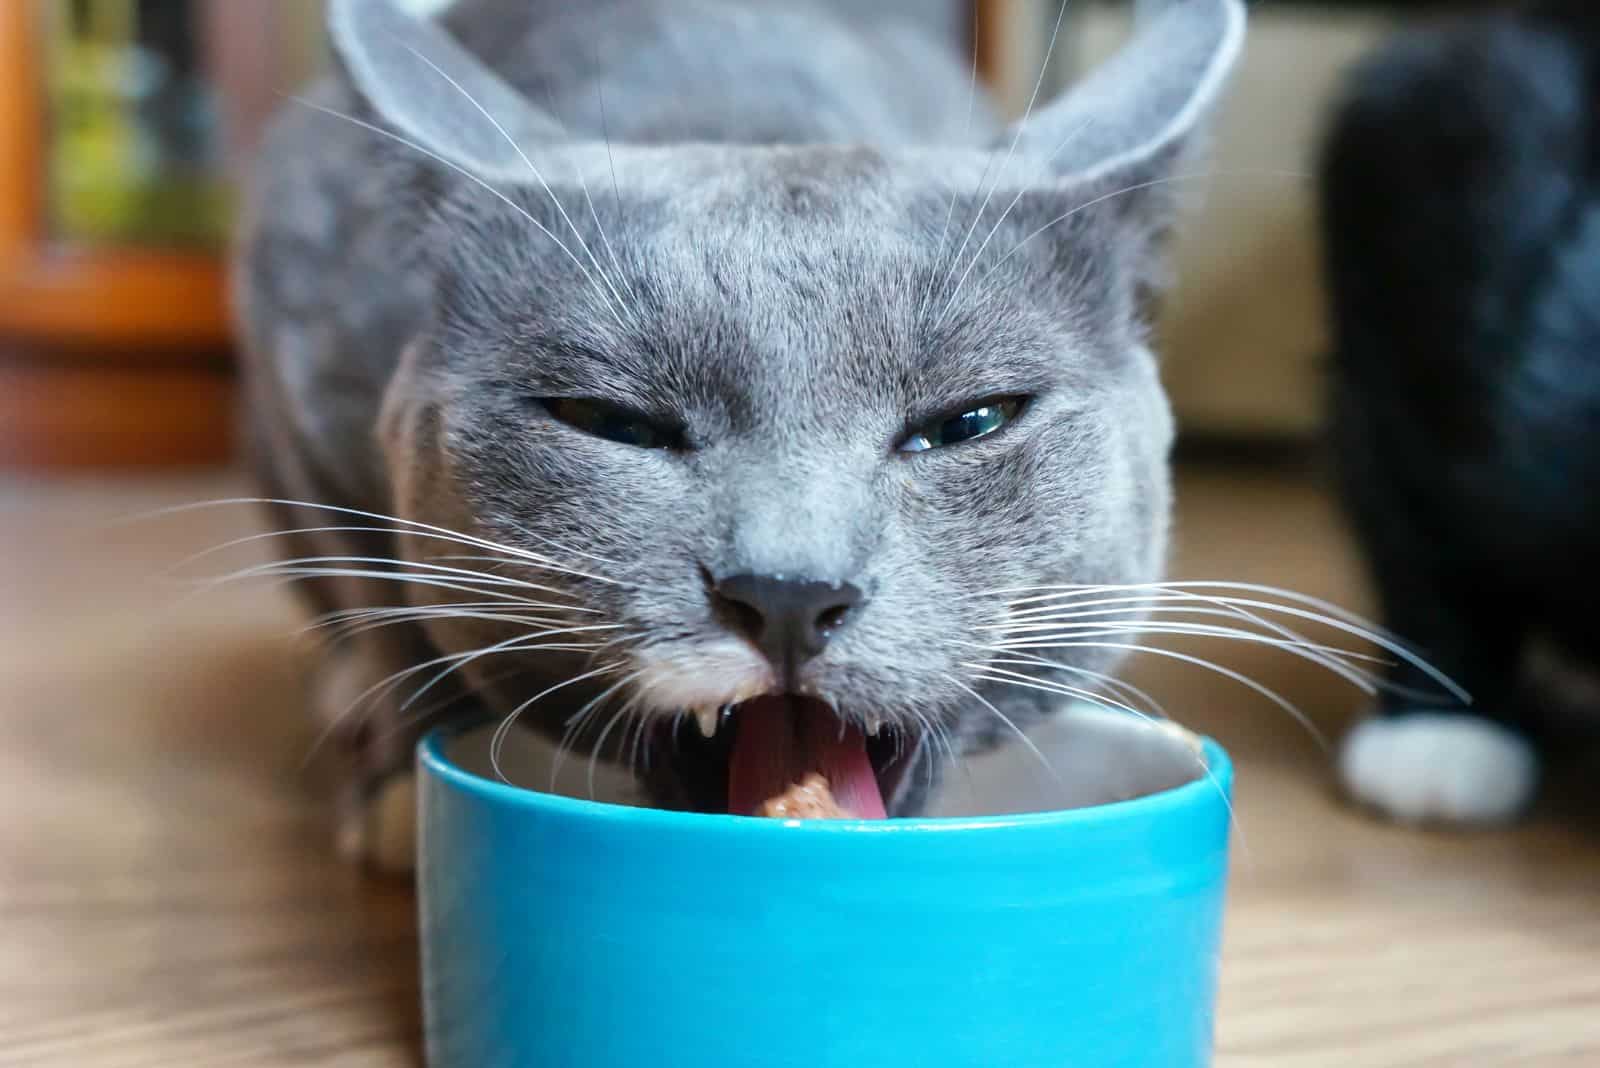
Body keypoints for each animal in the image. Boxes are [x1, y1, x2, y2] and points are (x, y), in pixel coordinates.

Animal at [232, 0, 1241, 869]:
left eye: (970, 421)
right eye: (612, 422)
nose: (789, 592)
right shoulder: (303, 379)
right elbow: (383, 599)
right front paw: (398, 792)